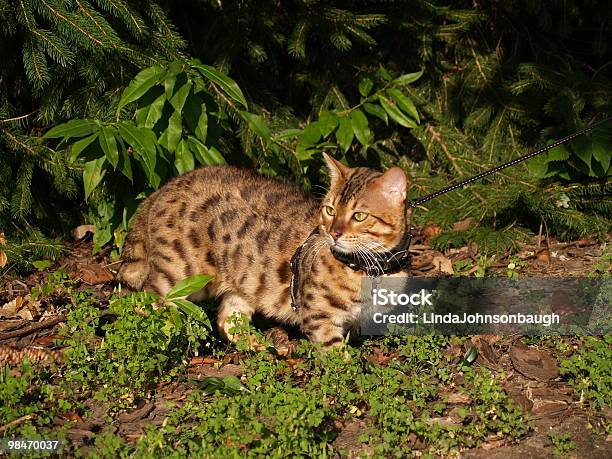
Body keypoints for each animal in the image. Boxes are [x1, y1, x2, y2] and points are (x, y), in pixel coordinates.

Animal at [117, 155, 408, 348]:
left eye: (359, 215)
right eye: (330, 210)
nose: (333, 233)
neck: (372, 268)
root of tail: (165, 187)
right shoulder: (319, 316)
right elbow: (336, 355)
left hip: (243, 281)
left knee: (227, 320)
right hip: (178, 273)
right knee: (146, 301)